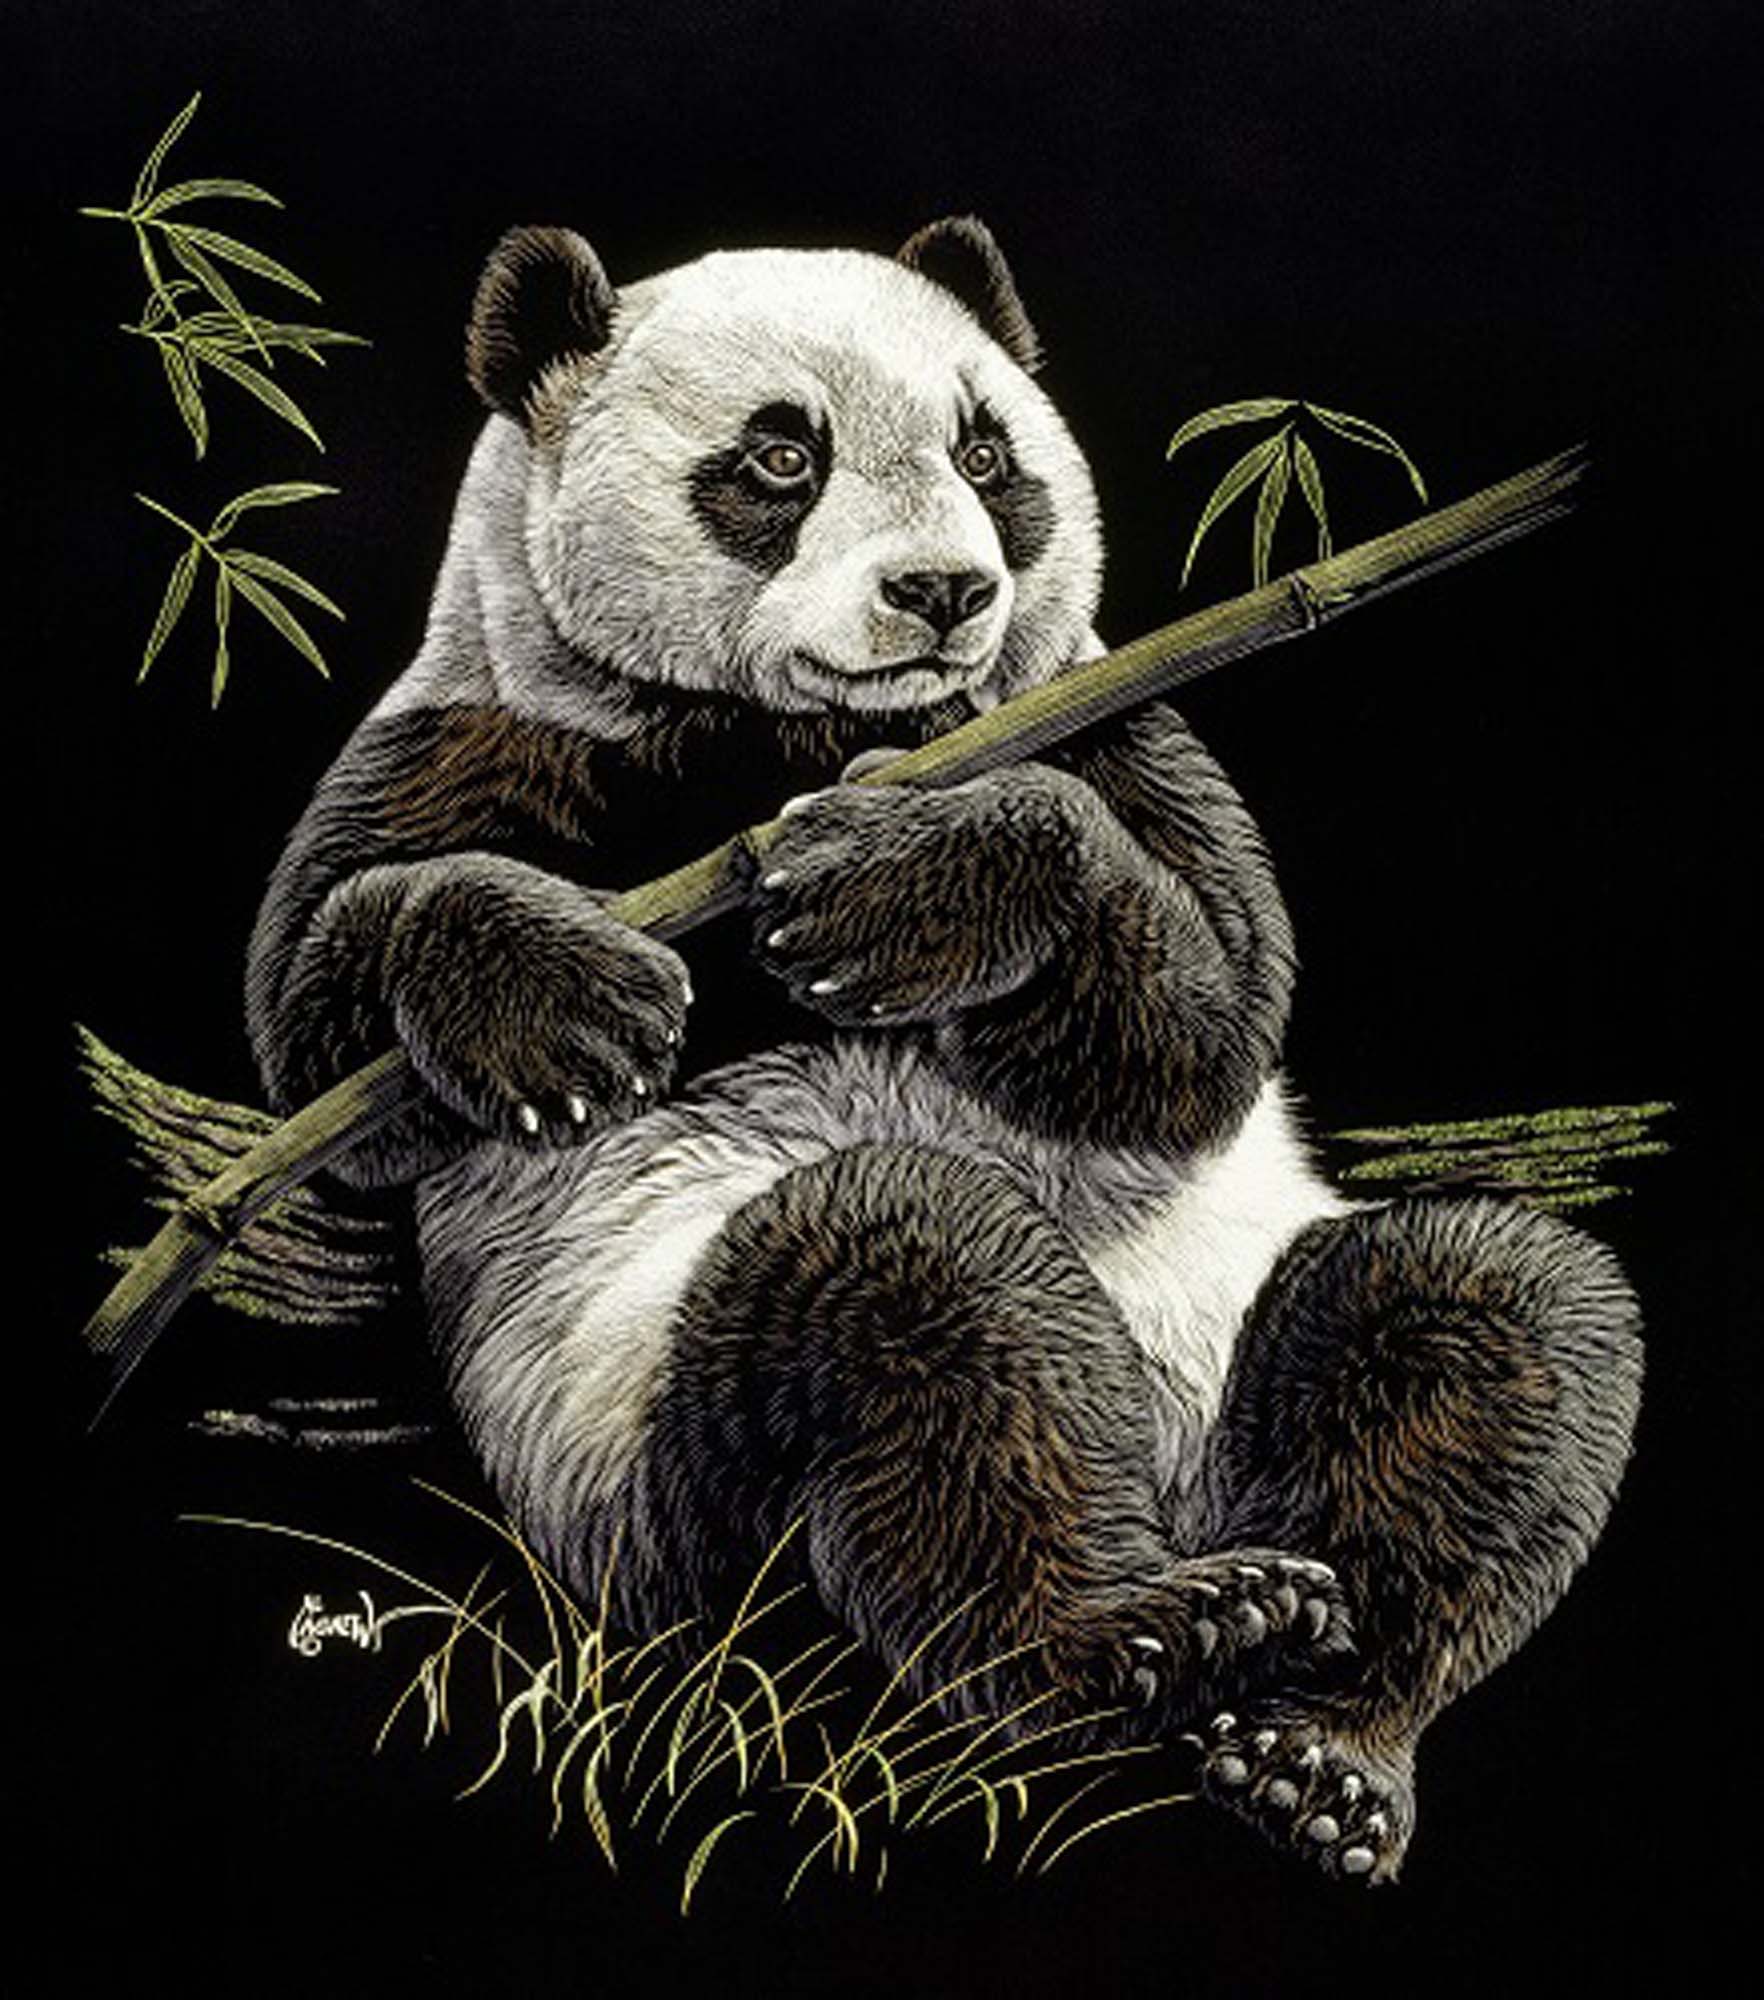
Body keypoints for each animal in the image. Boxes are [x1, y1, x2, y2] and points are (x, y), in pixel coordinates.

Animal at [244, 216, 1642, 1886]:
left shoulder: (1095, 719)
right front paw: (571, 1002)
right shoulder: (487, 739)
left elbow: (1207, 1023)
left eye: (987, 452)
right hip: (664, 1481)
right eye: (781, 455)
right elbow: (319, 1034)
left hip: (1244, 1351)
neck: (778, 743)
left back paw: (1318, 1746)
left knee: (1488, 1327)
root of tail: (1177, 1498)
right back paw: (1152, 1628)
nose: (945, 591)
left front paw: (888, 880)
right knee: (926, 1304)